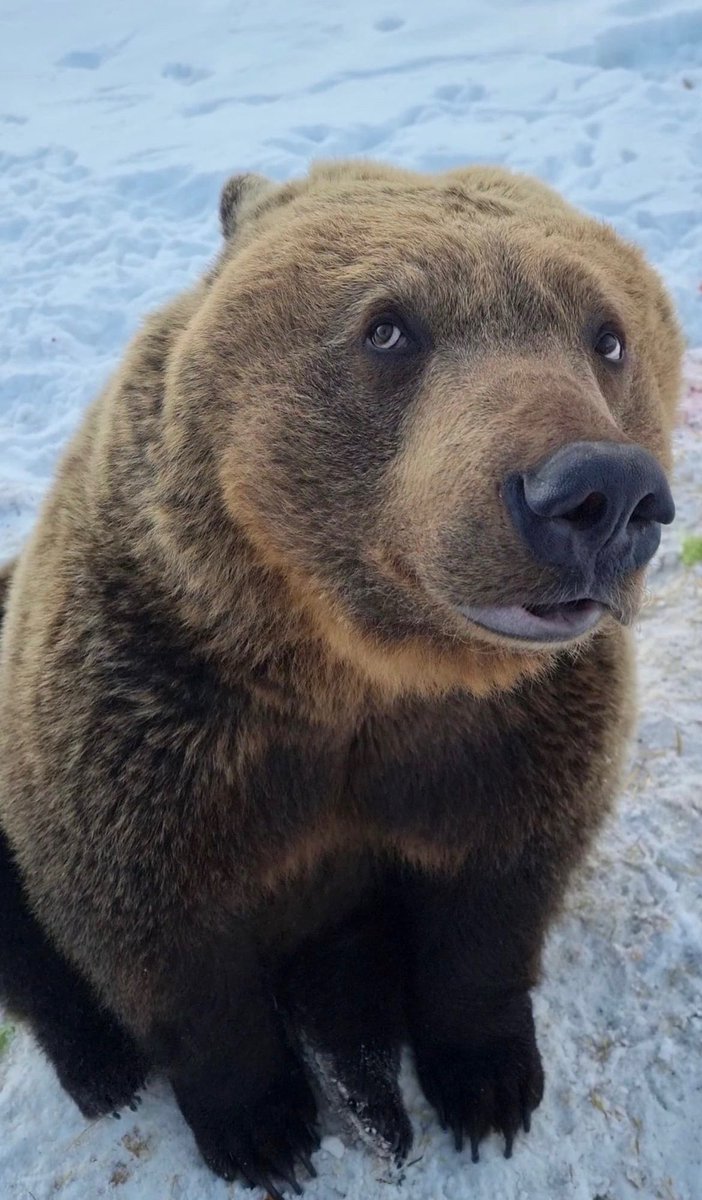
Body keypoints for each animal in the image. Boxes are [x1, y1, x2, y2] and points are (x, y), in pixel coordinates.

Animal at [0, 160, 682, 1197]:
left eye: (609, 336)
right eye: (388, 327)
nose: (600, 492)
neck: (357, 669)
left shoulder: (507, 731)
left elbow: (497, 895)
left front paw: (489, 1087)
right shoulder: (156, 711)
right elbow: (161, 933)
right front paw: (264, 1131)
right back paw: (104, 1066)